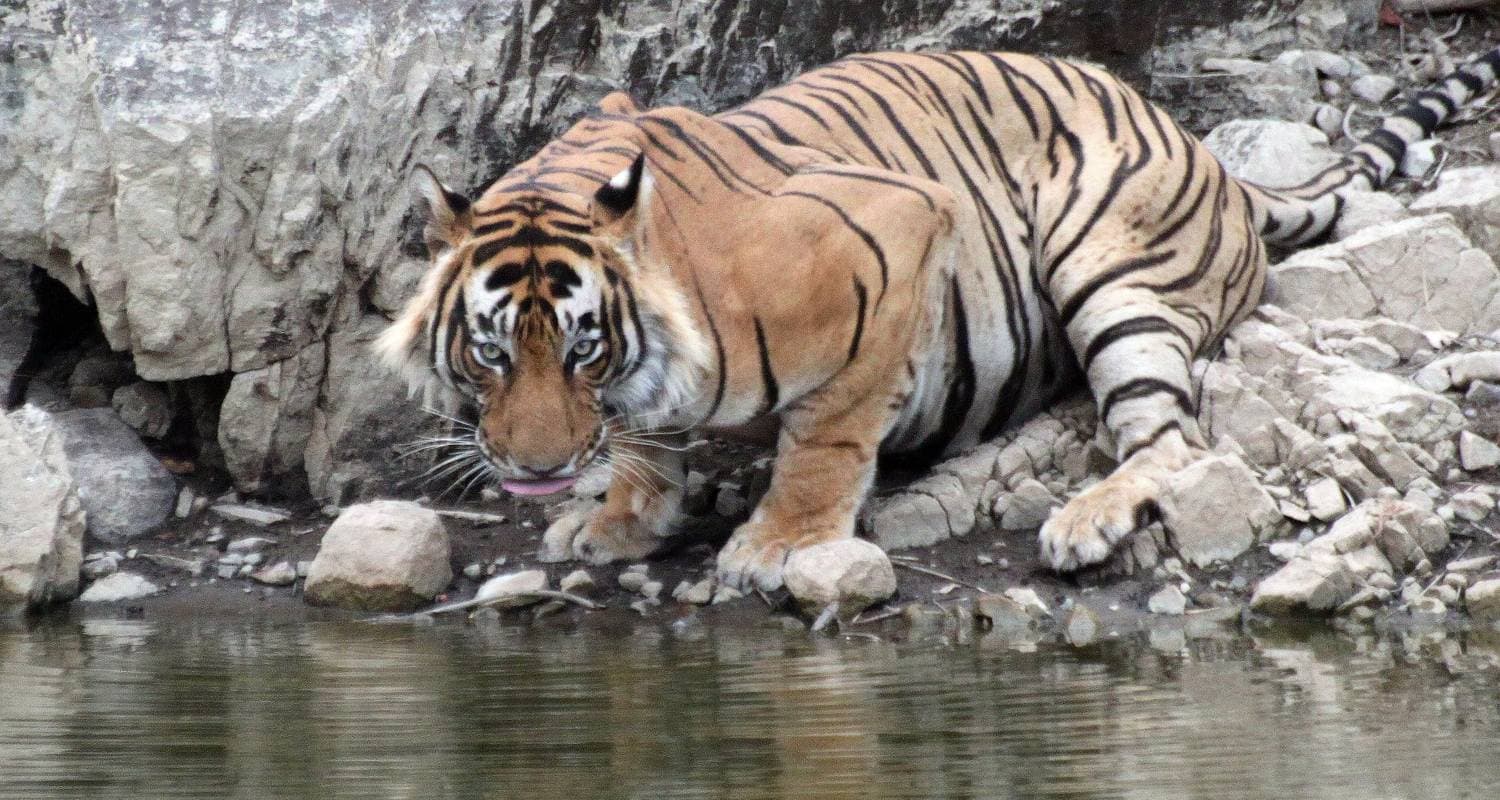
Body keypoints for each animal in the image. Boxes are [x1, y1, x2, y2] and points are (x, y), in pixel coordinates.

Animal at [378, 45, 1500, 592]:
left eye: (583, 347)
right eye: (489, 353)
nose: (534, 469)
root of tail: (1205, 148)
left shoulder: (895, 235)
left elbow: (826, 437)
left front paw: (778, 542)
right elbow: (651, 442)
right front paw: (619, 517)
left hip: (1108, 266)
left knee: (1176, 437)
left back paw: (1085, 521)